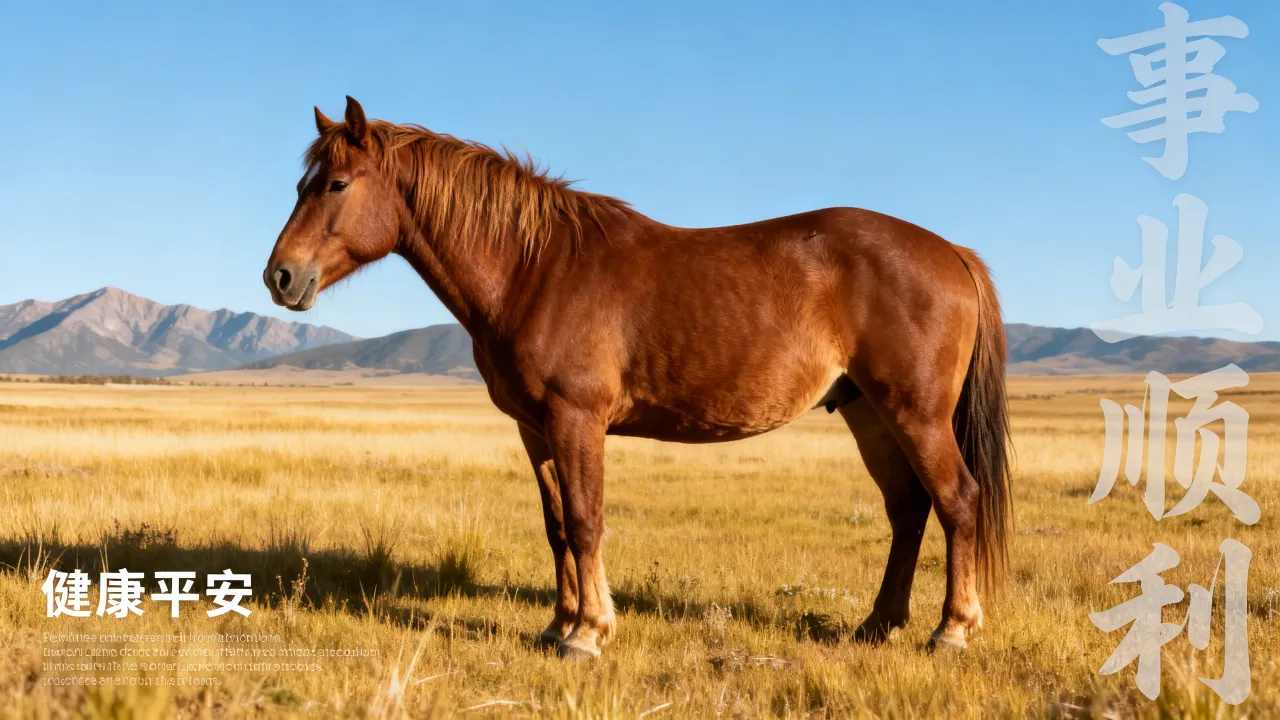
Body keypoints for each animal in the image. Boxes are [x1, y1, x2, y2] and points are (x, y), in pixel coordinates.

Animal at [264, 96, 1013, 659]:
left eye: (336, 185)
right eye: (300, 184)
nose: (281, 277)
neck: (534, 269)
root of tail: (952, 252)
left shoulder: (577, 419)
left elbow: (588, 520)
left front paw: (589, 634)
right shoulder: (535, 429)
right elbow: (558, 526)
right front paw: (558, 625)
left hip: (914, 413)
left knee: (958, 501)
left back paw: (951, 631)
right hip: (869, 413)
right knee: (909, 510)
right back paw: (878, 624)